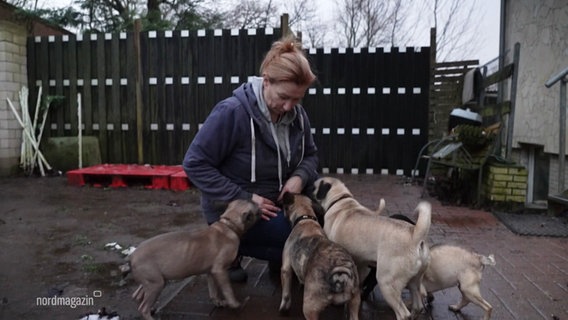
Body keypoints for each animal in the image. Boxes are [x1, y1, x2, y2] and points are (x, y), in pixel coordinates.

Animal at [123, 200, 262, 320]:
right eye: (257, 210)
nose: (260, 203)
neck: (228, 225)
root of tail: (132, 256)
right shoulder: (220, 270)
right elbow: (228, 289)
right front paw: (234, 304)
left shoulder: (211, 272)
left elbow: (213, 290)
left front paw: (217, 301)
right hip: (156, 284)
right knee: (143, 308)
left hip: (154, 280)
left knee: (139, 295)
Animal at [310, 178, 430, 320]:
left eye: (313, 187)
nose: (308, 189)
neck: (340, 199)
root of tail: (414, 235)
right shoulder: (360, 263)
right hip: (414, 282)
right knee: (418, 305)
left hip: (386, 283)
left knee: (403, 313)